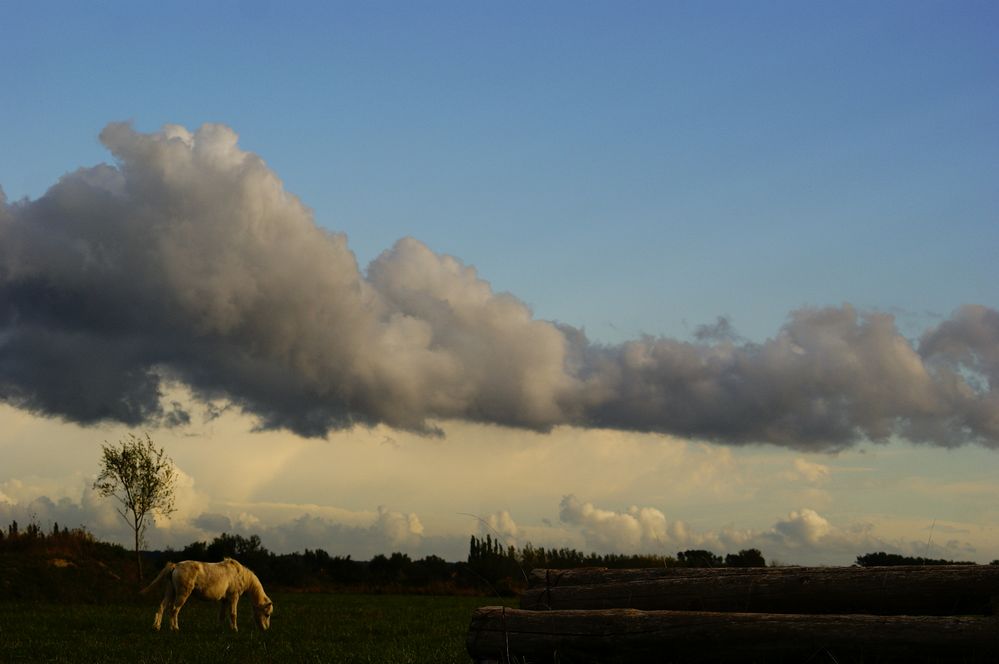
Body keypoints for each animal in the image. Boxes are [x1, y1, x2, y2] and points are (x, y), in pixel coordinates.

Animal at [140, 556, 274, 632]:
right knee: (174, 610)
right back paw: (175, 629)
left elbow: (222, 615)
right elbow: (233, 614)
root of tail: (175, 566)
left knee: (162, 607)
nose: (265, 630)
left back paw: (156, 627)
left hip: (170, 592)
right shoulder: (234, 597)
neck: (240, 575)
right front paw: (235, 629)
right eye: (267, 614)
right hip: (182, 594)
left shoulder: (224, 600)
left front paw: (220, 629)